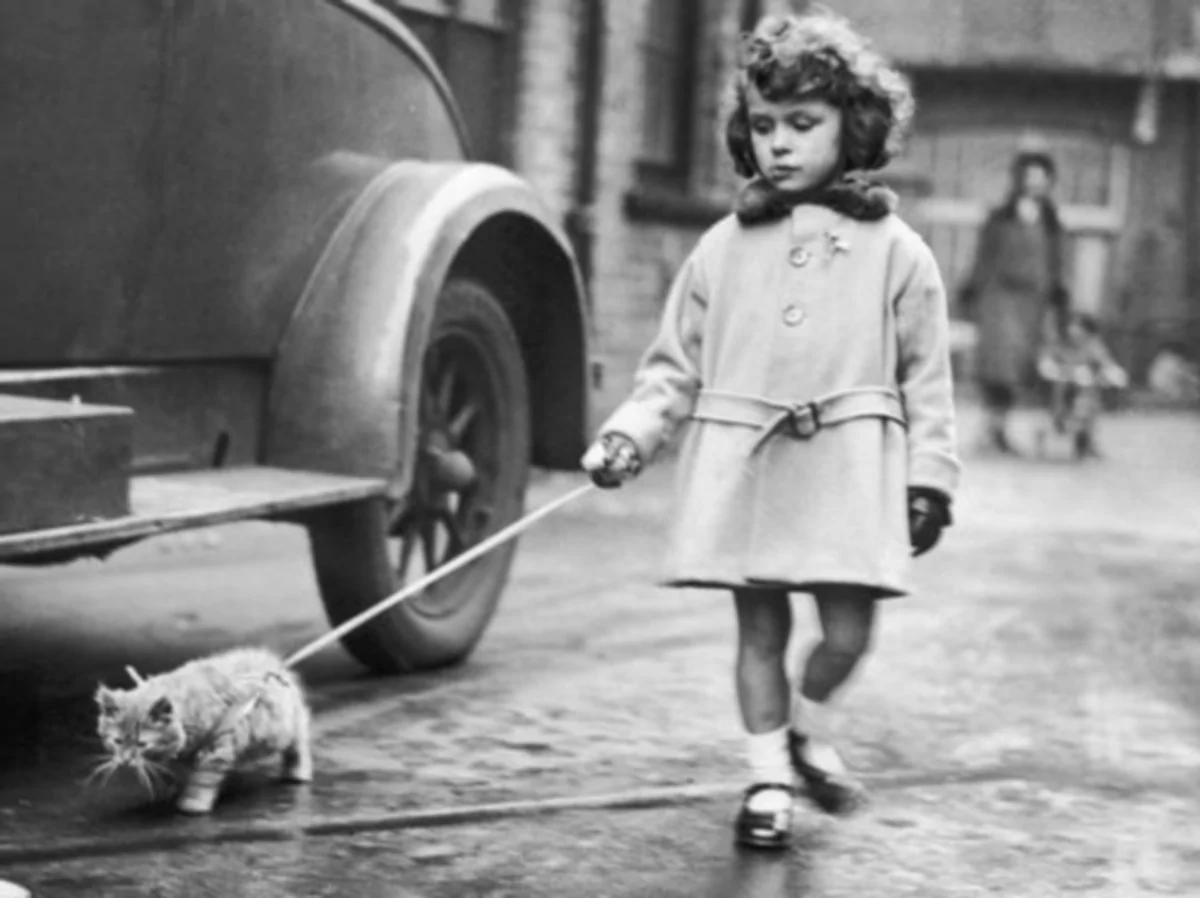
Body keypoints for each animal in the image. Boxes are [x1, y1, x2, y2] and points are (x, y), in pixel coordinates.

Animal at [93, 643, 312, 811]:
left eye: (141, 744)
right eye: (117, 741)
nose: (125, 760)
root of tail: (275, 664)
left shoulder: (219, 744)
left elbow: (203, 778)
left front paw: (192, 802)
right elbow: (175, 770)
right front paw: (171, 790)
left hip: (286, 728)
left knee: (299, 745)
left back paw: (299, 772)